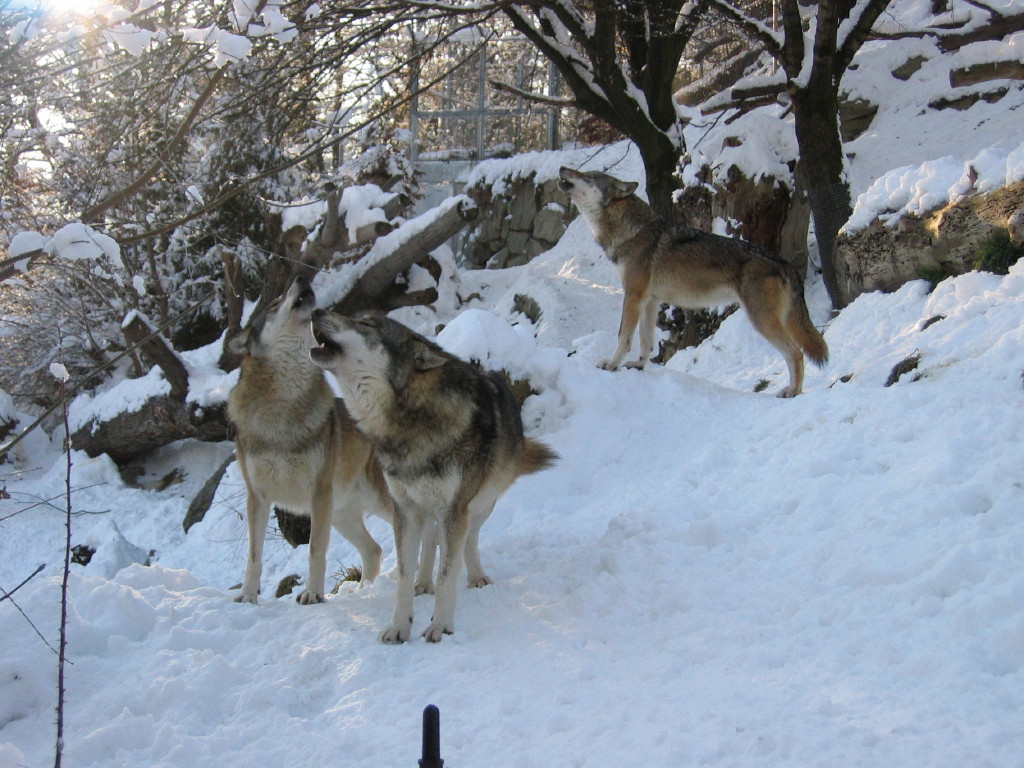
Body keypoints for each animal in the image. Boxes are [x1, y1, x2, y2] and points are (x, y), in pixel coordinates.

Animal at [228, 276, 391, 606]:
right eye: (274, 304)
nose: (302, 278)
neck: (283, 407)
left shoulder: (319, 494)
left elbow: (315, 549)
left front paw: (313, 594)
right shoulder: (258, 497)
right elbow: (253, 556)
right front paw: (248, 596)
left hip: (373, 502)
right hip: (342, 515)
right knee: (374, 549)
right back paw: (365, 590)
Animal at [307, 311, 557, 643]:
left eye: (366, 324)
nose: (315, 312)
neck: (409, 425)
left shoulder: (454, 509)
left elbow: (448, 574)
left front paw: (440, 626)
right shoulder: (404, 510)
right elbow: (404, 574)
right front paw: (399, 627)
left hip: (480, 505)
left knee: (468, 540)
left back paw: (476, 577)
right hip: (427, 510)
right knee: (430, 540)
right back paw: (423, 583)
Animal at [557, 165, 827, 399]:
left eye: (589, 177)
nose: (562, 168)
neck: (630, 231)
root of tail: (785, 263)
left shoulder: (633, 296)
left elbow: (623, 336)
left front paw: (612, 365)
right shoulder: (650, 300)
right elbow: (645, 340)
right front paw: (638, 365)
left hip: (761, 321)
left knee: (796, 353)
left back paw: (792, 392)